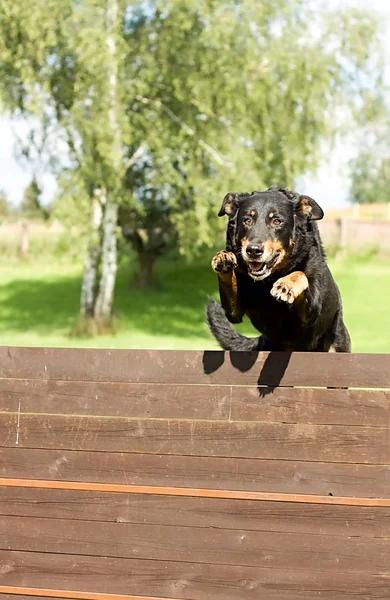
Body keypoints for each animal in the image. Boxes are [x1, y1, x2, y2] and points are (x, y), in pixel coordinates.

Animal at [207, 185, 350, 350]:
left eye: (277, 221)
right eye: (247, 220)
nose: (253, 250)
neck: (270, 277)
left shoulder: (312, 311)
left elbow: (300, 273)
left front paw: (285, 286)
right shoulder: (234, 311)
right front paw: (223, 260)